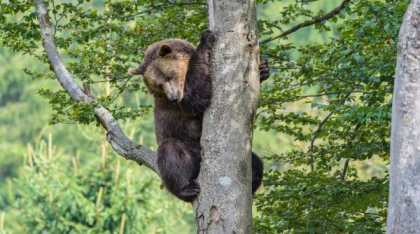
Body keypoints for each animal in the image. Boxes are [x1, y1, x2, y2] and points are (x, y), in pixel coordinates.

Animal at [130, 30, 270, 202]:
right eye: (159, 84)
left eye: (169, 76)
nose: (173, 98)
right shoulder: (182, 104)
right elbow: (197, 95)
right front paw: (206, 38)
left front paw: (263, 69)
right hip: (189, 150)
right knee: (171, 152)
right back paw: (186, 189)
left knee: (255, 163)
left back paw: (250, 186)